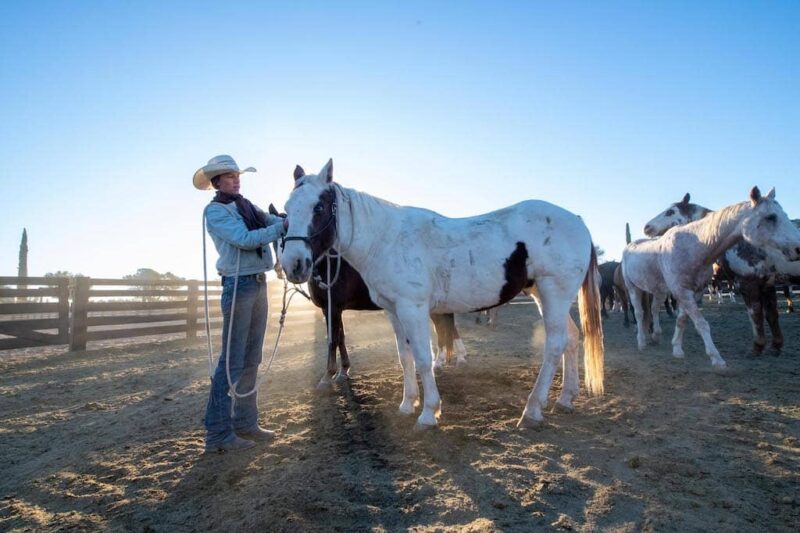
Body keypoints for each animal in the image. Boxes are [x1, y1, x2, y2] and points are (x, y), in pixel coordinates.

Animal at [624, 185, 800, 368]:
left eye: (670, 211)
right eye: (771, 217)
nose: (798, 248)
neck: (694, 247)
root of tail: (630, 245)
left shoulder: (695, 291)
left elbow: (682, 320)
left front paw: (677, 350)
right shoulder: (683, 291)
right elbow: (702, 323)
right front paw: (717, 358)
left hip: (658, 291)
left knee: (653, 309)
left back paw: (656, 336)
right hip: (633, 288)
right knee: (639, 313)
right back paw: (641, 342)